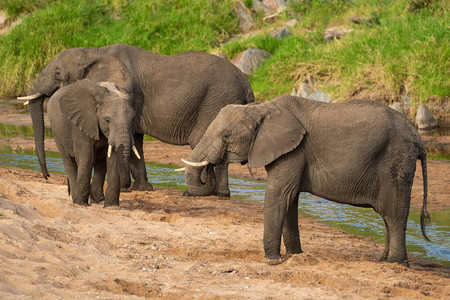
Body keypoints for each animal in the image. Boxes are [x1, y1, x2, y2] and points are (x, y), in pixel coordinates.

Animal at [46, 78, 139, 207]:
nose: (127, 186)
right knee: (70, 162)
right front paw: (82, 204)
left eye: (133, 119)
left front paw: (112, 207)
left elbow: (113, 160)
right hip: (57, 131)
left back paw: (98, 200)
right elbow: (87, 158)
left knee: (100, 165)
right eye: (107, 120)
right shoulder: (80, 125)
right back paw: (76, 200)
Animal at [181, 95, 430, 266]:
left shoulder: (294, 151)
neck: (261, 108)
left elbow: (279, 195)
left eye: (226, 136)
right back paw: (382, 261)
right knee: (389, 218)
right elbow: (289, 201)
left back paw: (395, 264)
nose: (209, 169)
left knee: (394, 214)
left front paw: (273, 262)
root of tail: (419, 139)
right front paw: (294, 256)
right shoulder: (291, 152)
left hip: (396, 162)